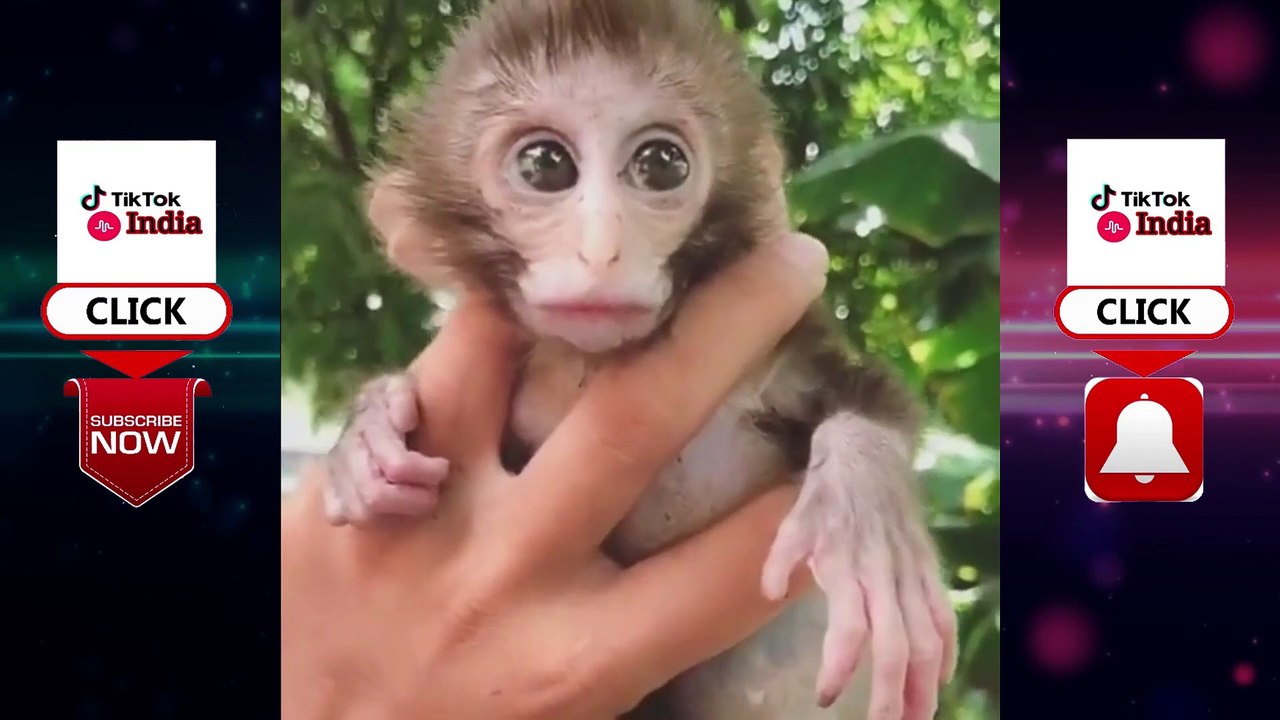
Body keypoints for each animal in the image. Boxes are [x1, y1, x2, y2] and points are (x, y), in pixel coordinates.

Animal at [324, 1, 957, 718]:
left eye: (661, 164)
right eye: (545, 165)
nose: (602, 250)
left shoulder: (779, 357)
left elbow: (868, 403)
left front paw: (863, 506)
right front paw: (367, 438)